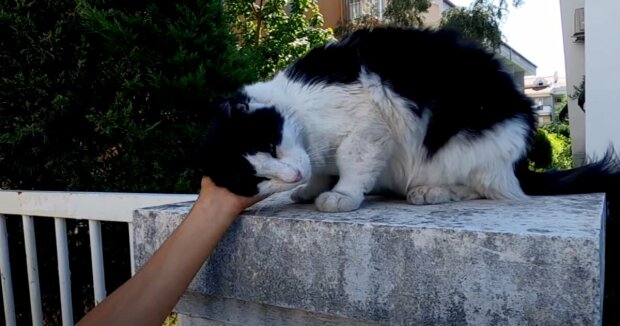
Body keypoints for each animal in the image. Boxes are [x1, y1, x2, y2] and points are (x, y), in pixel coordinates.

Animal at [193, 26, 616, 213]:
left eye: (270, 145)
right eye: (256, 179)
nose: (292, 176)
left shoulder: (368, 127)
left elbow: (351, 162)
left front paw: (341, 194)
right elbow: (320, 172)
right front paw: (309, 188)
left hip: (470, 147)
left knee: (488, 188)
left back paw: (431, 192)